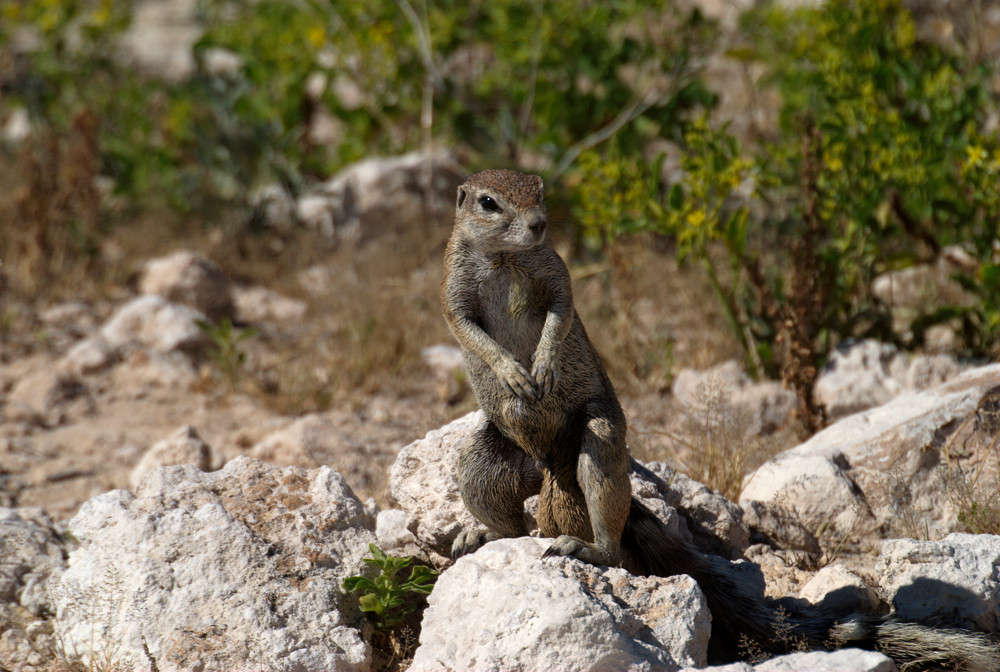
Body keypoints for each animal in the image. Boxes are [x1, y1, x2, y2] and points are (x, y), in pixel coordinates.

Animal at [444, 168, 1000, 668]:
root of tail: (549, 459)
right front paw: (512, 372)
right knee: (507, 512)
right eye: (489, 203)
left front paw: (541, 363)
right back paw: (486, 535)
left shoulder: (555, 273)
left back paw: (589, 547)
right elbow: (469, 330)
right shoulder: (454, 292)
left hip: (598, 432)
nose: (539, 224)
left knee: (599, 490)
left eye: (539, 191)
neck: (505, 258)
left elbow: (560, 311)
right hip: (483, 461)